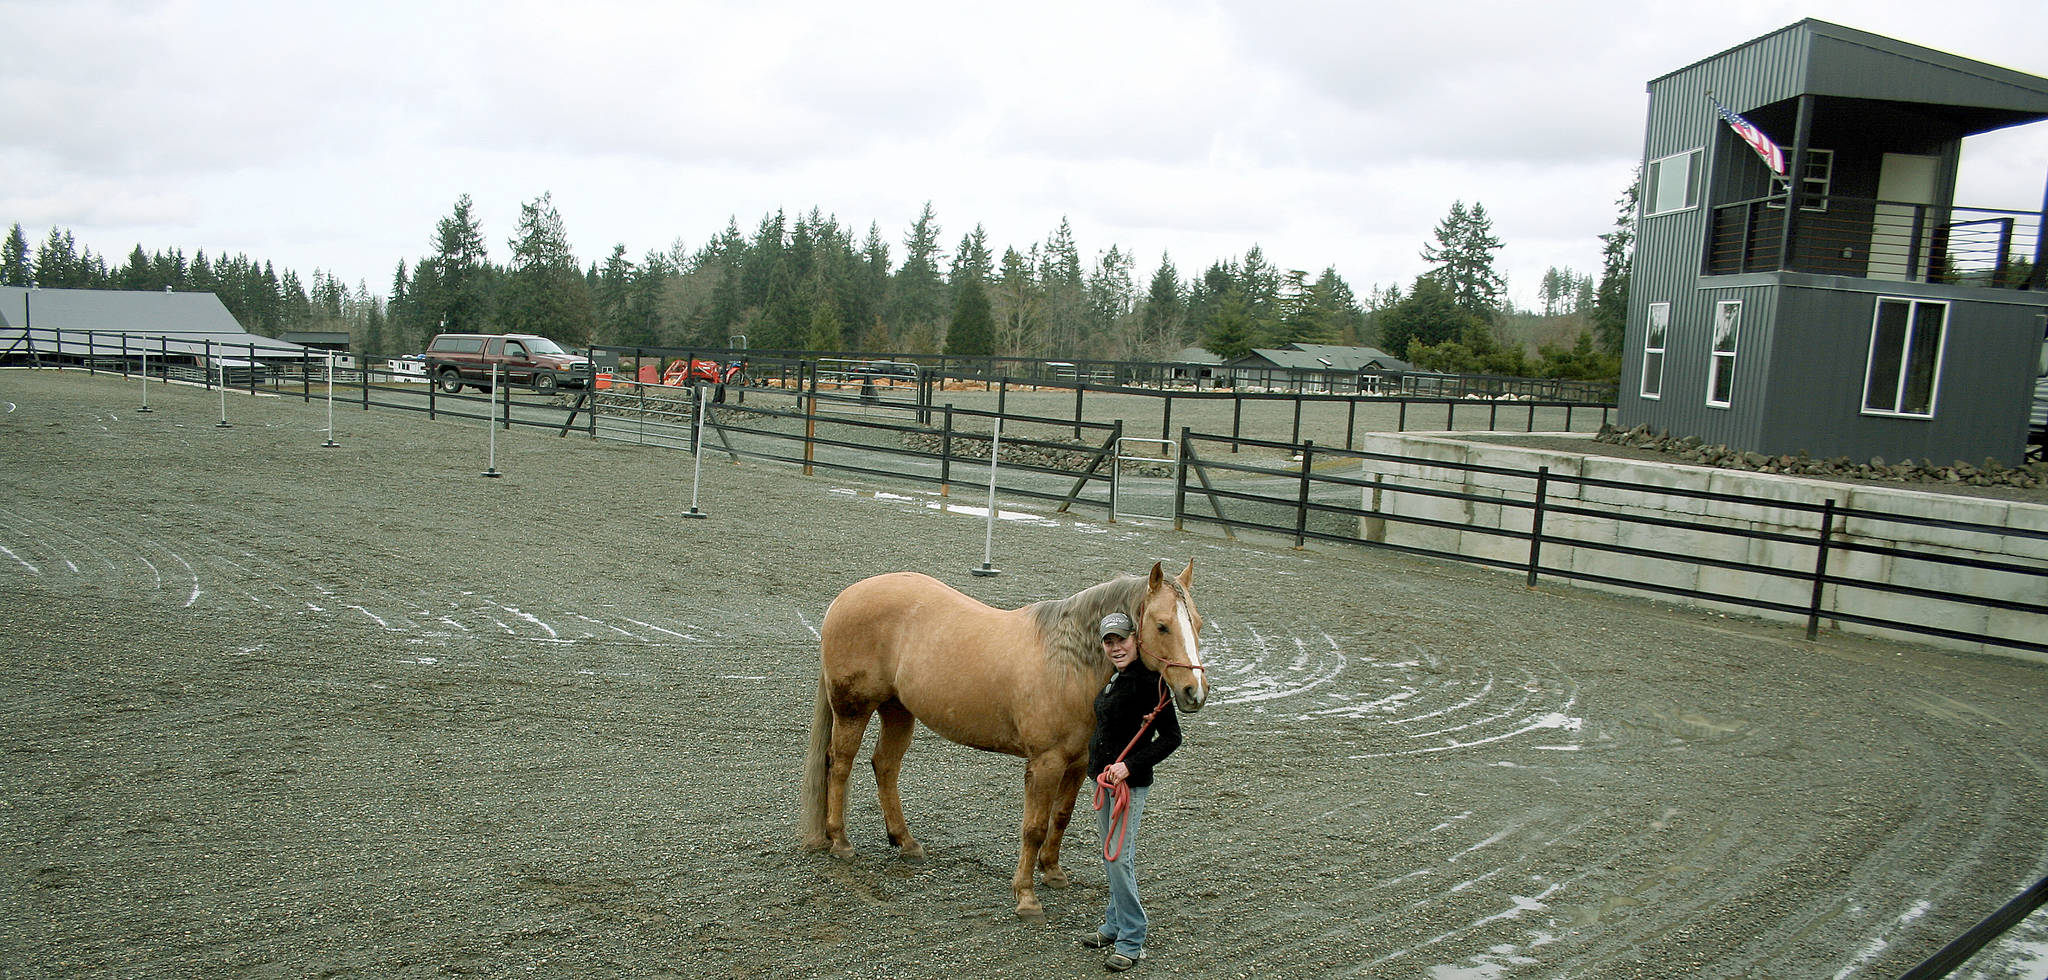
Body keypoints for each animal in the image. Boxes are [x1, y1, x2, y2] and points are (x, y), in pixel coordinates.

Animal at [800, 560, 1209, 917]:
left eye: (1199, 624)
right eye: (1162, 626)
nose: (1195, 692)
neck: (1067, 663)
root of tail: (845, 597)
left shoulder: (1078, 763)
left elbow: (1061, 817)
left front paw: (1052, 871)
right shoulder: (1045, 763)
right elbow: (1034, 827)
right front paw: (1026, 897)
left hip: (898, 710)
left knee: (884, 766)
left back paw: (905, 841)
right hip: (853, 710)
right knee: (840, 766)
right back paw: (840, 841)